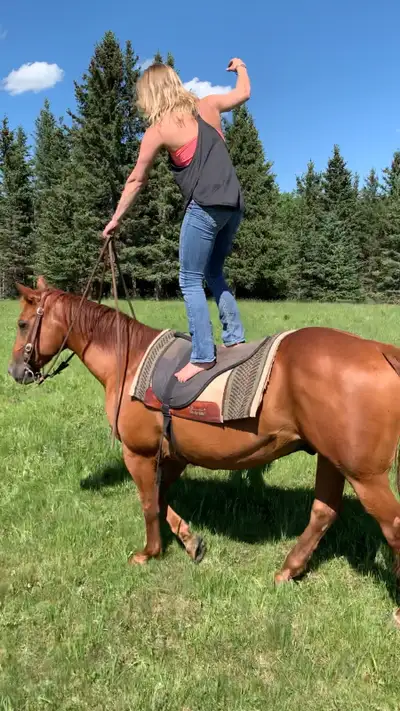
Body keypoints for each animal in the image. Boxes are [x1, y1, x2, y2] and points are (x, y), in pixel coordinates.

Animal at [7, 278, 400, 598]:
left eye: (22, 323)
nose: (15, 371)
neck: (129, 361)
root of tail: (379, 349)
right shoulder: (174, 455)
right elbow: (161, 498)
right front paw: (189, 540)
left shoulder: (138, 453)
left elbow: (149, 503)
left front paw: (149, 552)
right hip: (332, 459)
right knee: (323, 513)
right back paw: (287, 571)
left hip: (364, 474)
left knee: (391, 524)